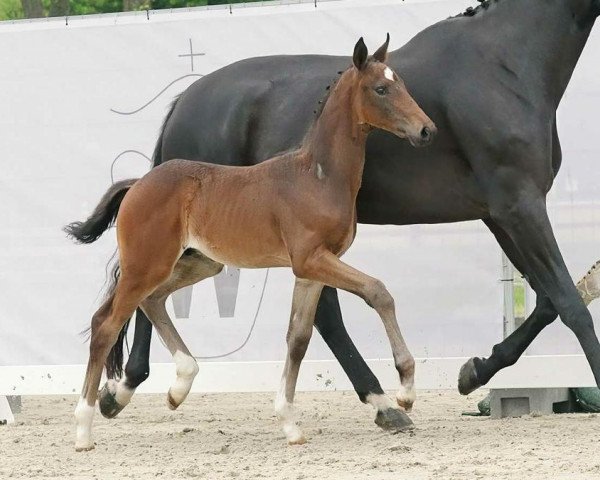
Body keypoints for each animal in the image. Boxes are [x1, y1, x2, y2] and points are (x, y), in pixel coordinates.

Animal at [67, 36, 436, 450]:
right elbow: (378, 292)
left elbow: (298, 338)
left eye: (400, 82)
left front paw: (290, 423)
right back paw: (84, 430)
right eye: (381, 89)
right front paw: (405, 390)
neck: (318, 176)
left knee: (147, 302)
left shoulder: (311, 270)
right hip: (147, 264)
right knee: (106, 324)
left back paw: (178, 385)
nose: (427, 130)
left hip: (199, 263)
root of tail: (137, 184)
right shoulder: (310, 259)